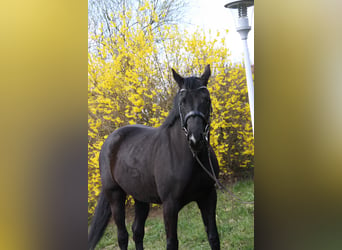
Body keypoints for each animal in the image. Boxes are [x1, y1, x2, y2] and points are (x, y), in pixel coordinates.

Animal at [89, 65, 219, 249]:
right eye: (182, 101)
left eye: (207, 99)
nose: (196, 138)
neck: (193, 158)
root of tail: (110, 140)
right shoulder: (170, 205)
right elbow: (172, 243)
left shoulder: (208, 196)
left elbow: (213, 237)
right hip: (115, 196)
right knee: (122, 236)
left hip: (140, 196)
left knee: (137, 231)